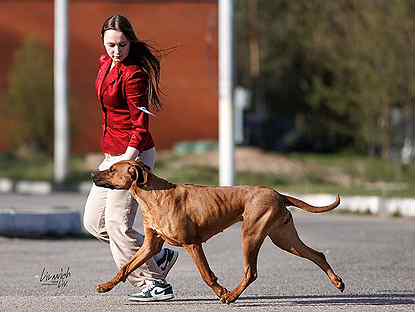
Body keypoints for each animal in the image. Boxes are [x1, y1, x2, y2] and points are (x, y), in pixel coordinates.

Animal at [92, 160, 346, 304]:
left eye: (112, 170)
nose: (93, 175)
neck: (154, 194)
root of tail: (278, 193)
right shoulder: (150, 245)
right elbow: (126, 267)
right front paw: (106, 286)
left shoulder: (192, 244)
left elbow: (206, 274)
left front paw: (220, 291)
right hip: (284, 238)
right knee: (317, 254)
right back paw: (337, 282)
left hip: (251, 235)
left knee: (251, 272)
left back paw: (231, 296)